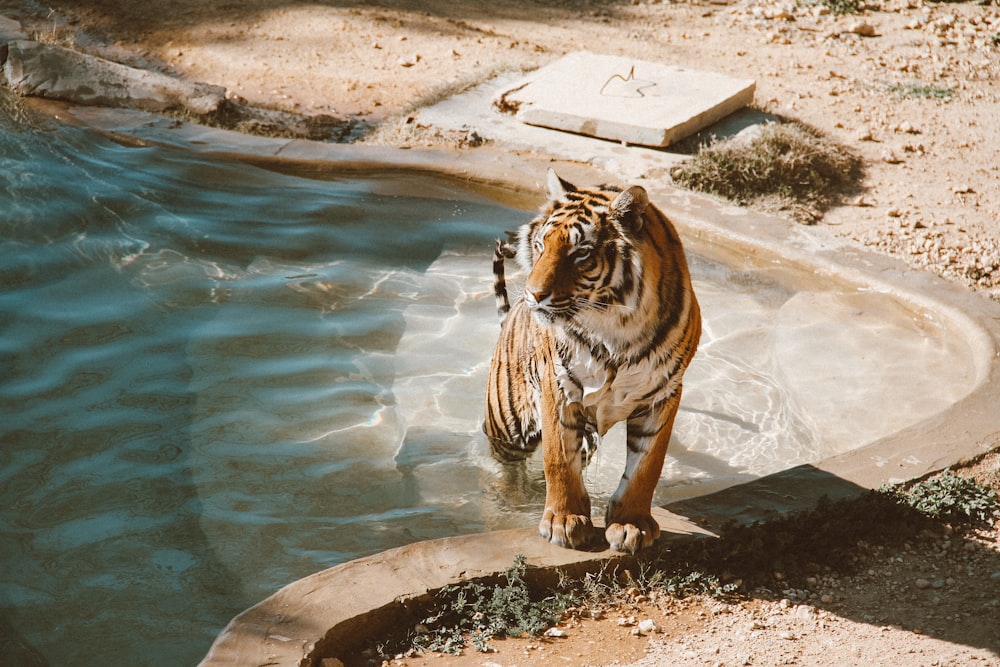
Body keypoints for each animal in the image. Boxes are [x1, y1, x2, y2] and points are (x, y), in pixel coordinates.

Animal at [480, 170, 700, 556]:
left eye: (580, 253)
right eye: (541, 245)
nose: (533, 295)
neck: (618, 329)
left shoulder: (663, 394)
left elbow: (647, 465)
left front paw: (631, 524)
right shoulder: (558, 388)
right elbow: (558, 460)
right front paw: (563, 522)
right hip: (507, 425)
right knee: (504, 466)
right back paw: (508, 498)